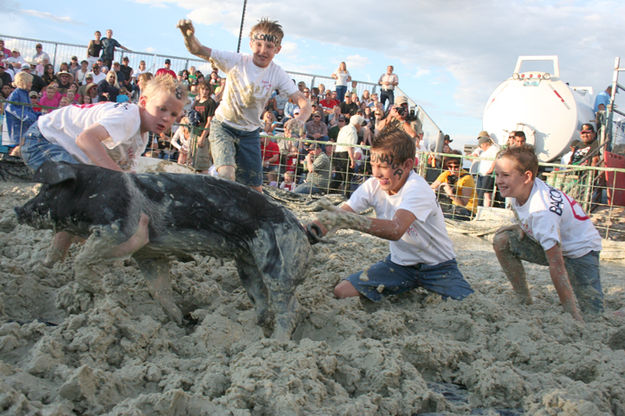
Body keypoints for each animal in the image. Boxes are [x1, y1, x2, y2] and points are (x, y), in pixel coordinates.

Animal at [15, 161, 312, 340]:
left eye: (47, 190)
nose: (18, 209)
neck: (93, 193)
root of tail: (300, 227)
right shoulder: (149, 254)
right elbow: (160, 289)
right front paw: (182, 323)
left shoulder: (121, 230)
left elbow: (83, 258)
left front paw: (102, 289)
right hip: (247, 265)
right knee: (262, 297)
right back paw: (257, 327)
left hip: (279, 265)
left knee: (290, 307)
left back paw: (276, 342)